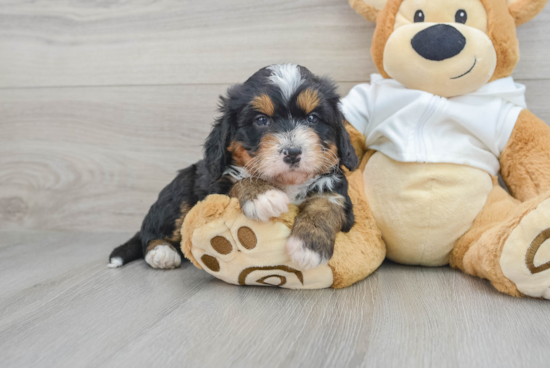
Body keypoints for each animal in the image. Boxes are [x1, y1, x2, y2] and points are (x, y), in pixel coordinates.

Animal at [109, 63, 360, 270]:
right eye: (261, 120)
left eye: (312, 118)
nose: (292, 152)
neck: (287, 184)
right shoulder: (216, 187)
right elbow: (241, 180)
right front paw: (264, 197)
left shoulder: (337, 192)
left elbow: (325, 205)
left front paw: (308, 246)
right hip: (180, 191)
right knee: (151, 231)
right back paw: (161, 252)